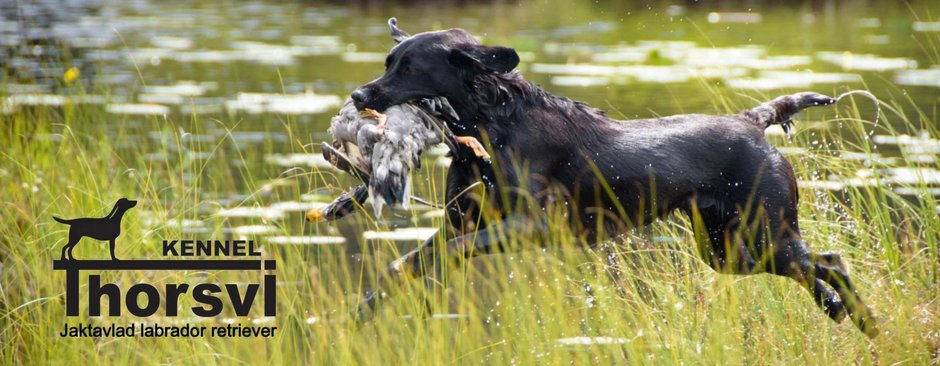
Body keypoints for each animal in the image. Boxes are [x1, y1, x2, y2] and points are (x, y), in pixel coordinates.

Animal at [348, 17, 876, 338]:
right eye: (388, 63)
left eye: (409, 67)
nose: (358, 95)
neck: (493, 121)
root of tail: (752, 120)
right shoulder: (461, 219)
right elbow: (409, 261)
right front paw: (367, 307)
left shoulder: (532, 226)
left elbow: (453, 251)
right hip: (728, 251)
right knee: (813, 270)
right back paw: (838, 310)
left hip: (765, 231)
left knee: (830, 262)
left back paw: (865, 320)